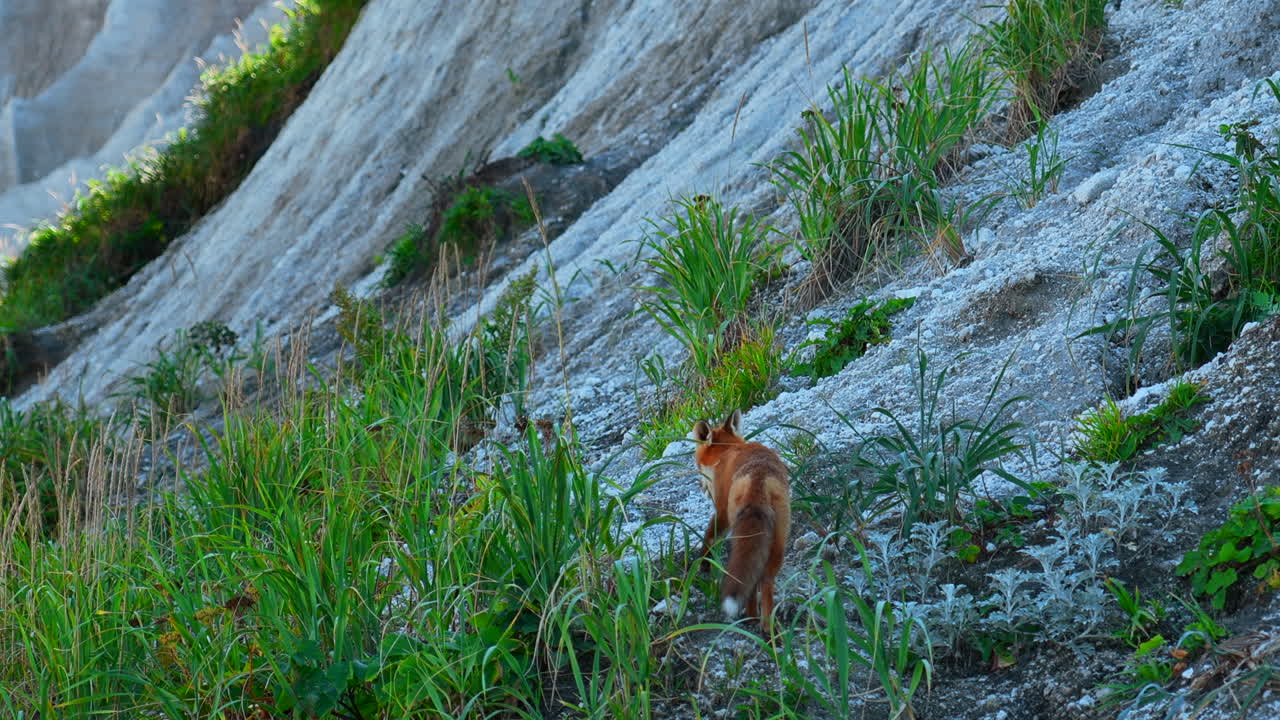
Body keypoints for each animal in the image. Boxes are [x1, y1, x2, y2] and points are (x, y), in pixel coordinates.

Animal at [690, 409, 791, 634]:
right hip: (779, 540)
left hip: (738, 528)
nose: (700, 486)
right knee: (764, 579)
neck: (728, 450)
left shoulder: (721, 511)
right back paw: (767, 627)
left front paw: (703, 564)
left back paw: (751, 617)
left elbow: (709, 537)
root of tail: (758, 480)